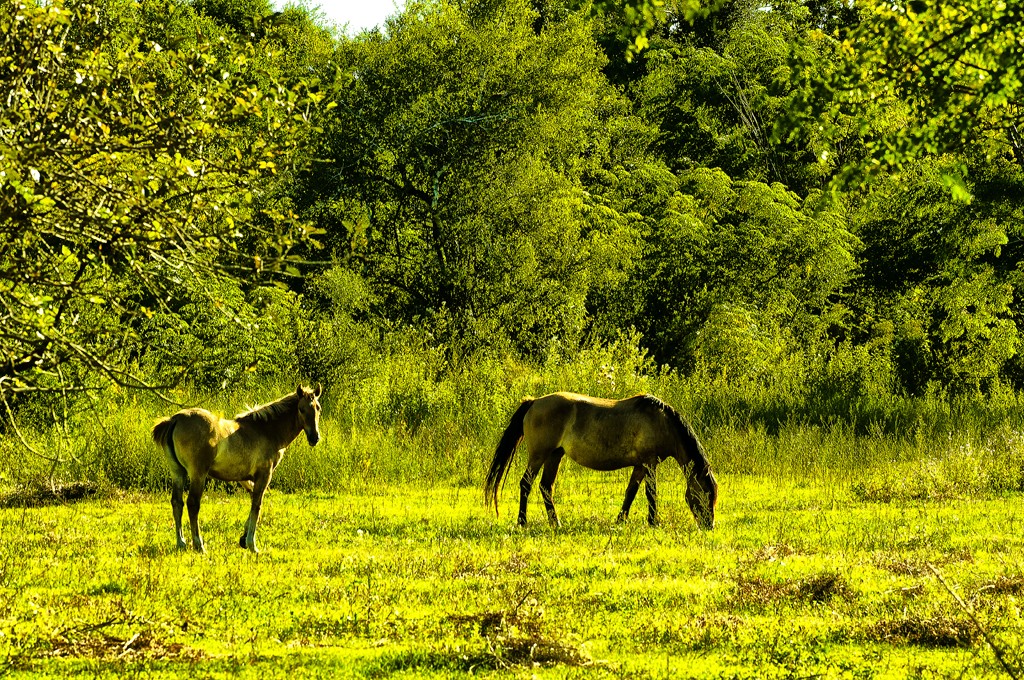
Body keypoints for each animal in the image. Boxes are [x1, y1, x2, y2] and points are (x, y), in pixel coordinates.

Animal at [148, 383, 321, 553]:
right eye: (301, 409)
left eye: (318, 408)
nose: (314, 438)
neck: (266, 430)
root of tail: (175, 419)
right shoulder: (264, 475)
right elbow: (257, 505)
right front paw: (252, 544)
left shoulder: (244, 478)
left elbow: (252, 500)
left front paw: (243, 539)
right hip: (198, 474)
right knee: (192, 504)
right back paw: (199, 545)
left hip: (178, 473)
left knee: (177, 503)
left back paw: (181, 543)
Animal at [483, 393, 716, 532]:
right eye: (706, 493)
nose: (710, 525)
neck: (662, 422)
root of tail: (534, 402)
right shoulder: (650, 463)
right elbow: (651, 493)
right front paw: (653, 522)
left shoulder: (640, 465)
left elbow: (631, 492)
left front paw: (620, 520)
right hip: (539, 455)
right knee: (526, 484)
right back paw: (522, 522)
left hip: (554, 455)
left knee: (545, 486)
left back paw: (555, 522)